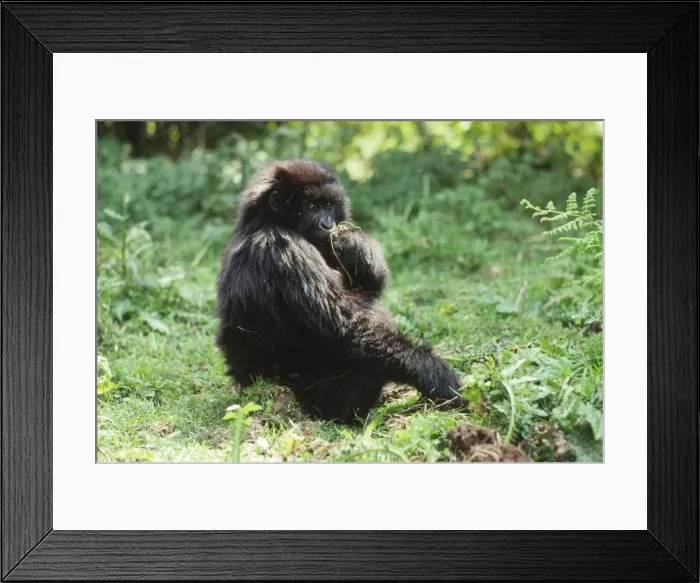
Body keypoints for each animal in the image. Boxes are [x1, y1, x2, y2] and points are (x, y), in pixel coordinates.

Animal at [216, 159, 465, 423]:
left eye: (328, 205)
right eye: (312, 207)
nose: (329, 224)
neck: (265, 221)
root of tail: (247, 388)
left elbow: (368, 286)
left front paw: (355, 243)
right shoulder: (281, 246)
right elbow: (344, 327)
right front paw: (432, 373)